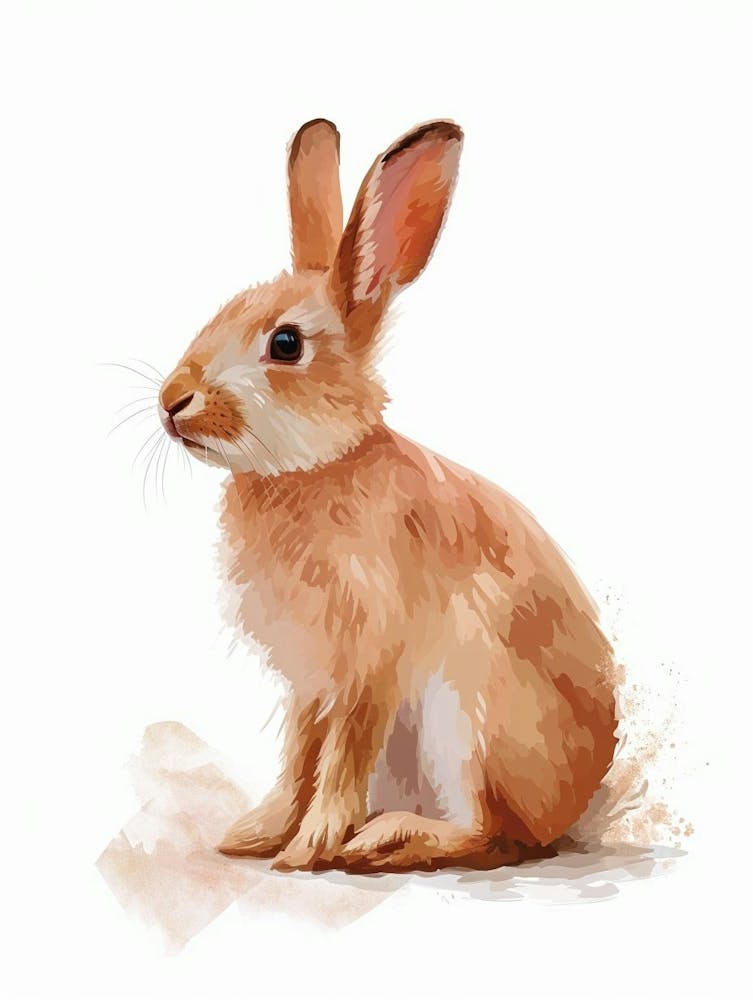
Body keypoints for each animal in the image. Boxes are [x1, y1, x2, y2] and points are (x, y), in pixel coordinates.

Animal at [157, 118, 618, 873]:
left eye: (286, 344)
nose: (172, 403)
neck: (314, 467)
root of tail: (577, 808)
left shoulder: (367, 662)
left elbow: (342, 757)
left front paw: (309, 848)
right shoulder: (309, 684)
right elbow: (299, 757)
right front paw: (256, 835)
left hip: (469, 718)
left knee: (488, 834)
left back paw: (384, 838)